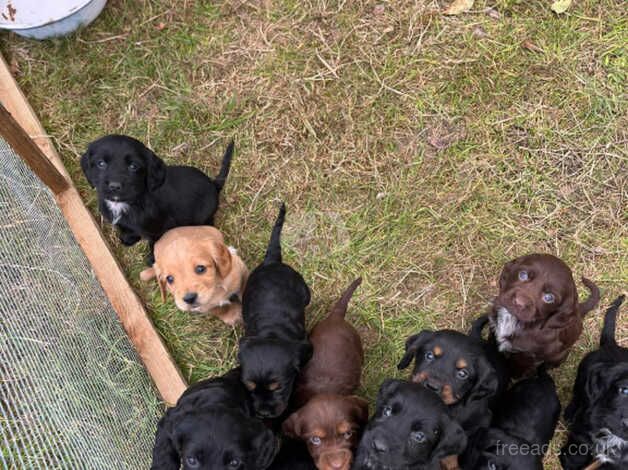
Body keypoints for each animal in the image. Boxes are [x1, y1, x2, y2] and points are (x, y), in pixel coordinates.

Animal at [80, 134, 233, 262]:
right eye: (101, 163)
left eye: (133, 166)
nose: (114, 186)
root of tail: (214, 185)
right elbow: (127, 229)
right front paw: (128, 239)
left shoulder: (159, 229)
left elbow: (155, 244)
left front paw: (153, 260)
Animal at [237, 204, 312, 420]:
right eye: (249, 387)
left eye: (279, 387)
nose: (264, 413)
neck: (271, 332)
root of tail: (271, 261)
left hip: (305, 291)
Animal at [560, 296, 624, 468]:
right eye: (624, 390)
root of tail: (612, 344)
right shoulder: (585, 426)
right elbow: (580, 444)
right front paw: (569, 461)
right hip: (584, 372)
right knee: (578, 394)